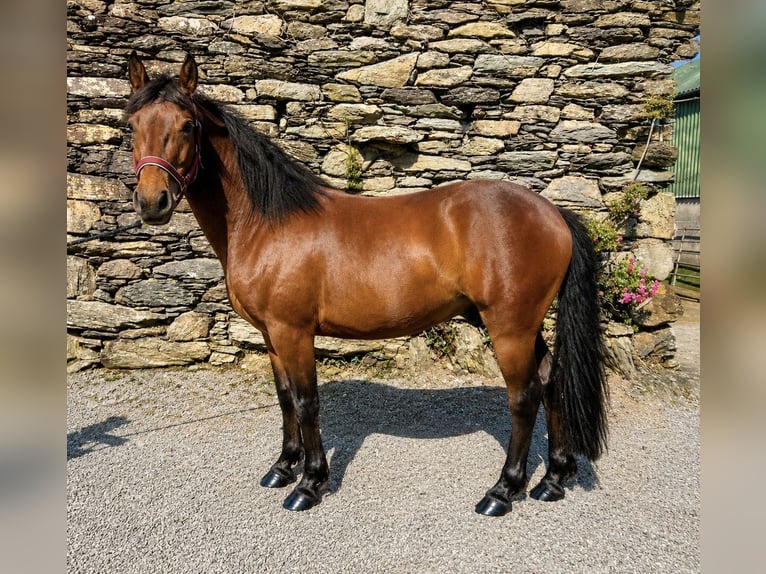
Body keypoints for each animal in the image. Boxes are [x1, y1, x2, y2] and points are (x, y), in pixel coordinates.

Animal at [124, 52, 608, 516]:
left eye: (187, 126)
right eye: (132, 124)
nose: (152, 203)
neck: (268, 223)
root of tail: (553, 213)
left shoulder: (293, 332)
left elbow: (307, 402)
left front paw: (309, 484)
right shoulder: (270, 335)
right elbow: (284, 398)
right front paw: (282, 467)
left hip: (509, 327)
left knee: (524, 397)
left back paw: (503, 491)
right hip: (525, 326)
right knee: (550, 380)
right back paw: (552, 480)